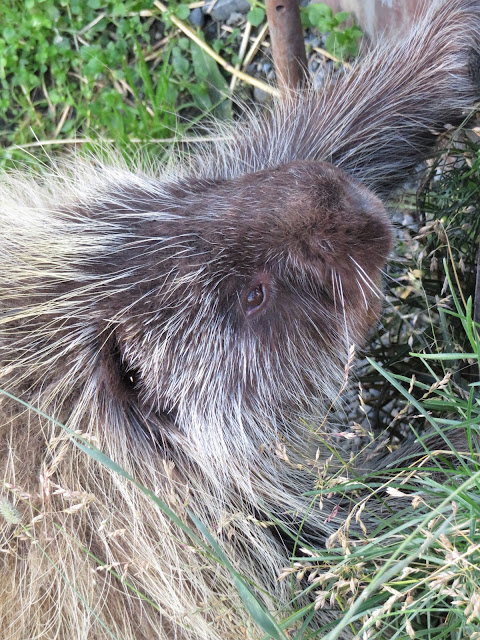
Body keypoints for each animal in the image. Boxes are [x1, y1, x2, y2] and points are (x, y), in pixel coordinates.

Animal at [0, 1, 479, 638]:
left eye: (200, 190)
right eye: (253, 296)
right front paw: (461, 442)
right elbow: (363, 558)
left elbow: (317, 130)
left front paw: (450, 35)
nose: (349, 203)